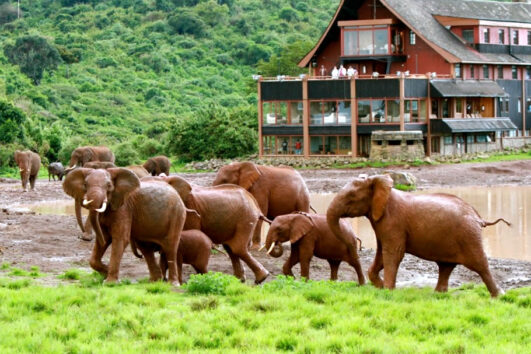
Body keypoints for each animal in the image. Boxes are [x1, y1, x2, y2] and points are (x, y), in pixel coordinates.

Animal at [324, 174, 512, 296]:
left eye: (351, 197)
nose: (359, 245)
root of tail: (479, 218)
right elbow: (381, 253)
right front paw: (380, 286)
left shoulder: (393, 222)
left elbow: (393, 253)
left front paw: (388, 291)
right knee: (446, 266)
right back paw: (438, 295)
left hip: (468, 235)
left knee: (479, 264)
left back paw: (499, 295)